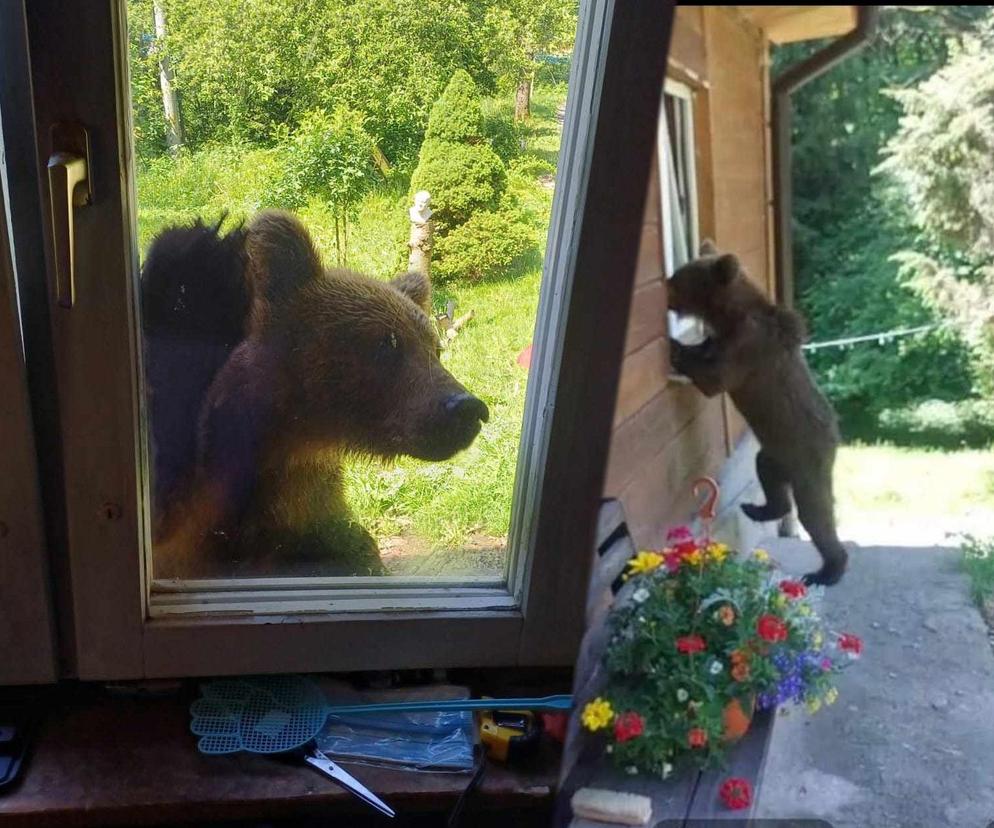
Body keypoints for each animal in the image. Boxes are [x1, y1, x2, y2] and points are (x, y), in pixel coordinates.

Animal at [668, 241, 844, 588]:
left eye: (680, 279)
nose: (666, 285)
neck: (729, 315)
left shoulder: (746, 349)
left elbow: (713, 379)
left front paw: (677, 348)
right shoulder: (726, 339)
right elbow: (707, 352)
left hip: (807, 456)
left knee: (815, 513)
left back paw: (828, 570)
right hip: (775, 454)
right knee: (769, 476)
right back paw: (758, 508)